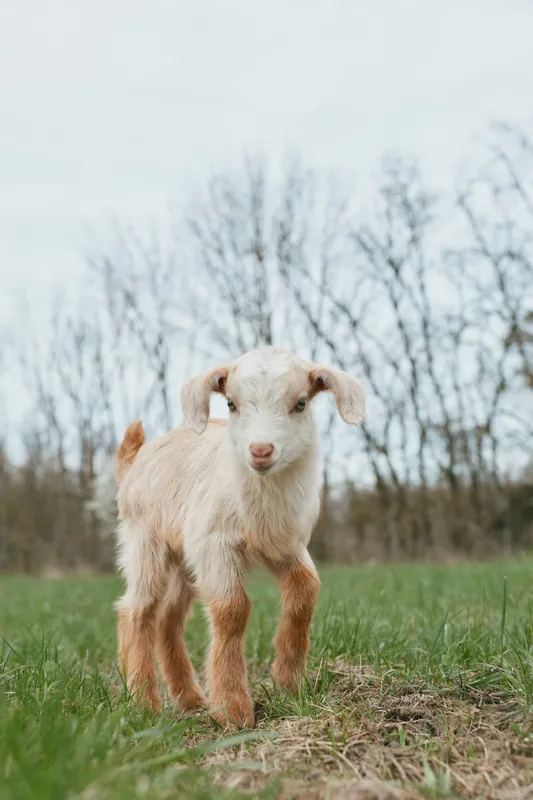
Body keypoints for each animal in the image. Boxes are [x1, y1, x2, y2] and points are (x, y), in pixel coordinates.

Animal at [114, 346, 365, 727]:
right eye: (231, 404)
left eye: (301, 403)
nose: (260, 451)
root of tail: (134, 461)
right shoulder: (215, 543)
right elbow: (232, 609)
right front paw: (233, 711)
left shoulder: (287, 544)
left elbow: (306, 590)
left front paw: (290, 684)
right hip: (145, 541)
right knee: (138, 611)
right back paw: (144, 703)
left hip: (184, 559)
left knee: (169, 617)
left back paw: (188, 698)